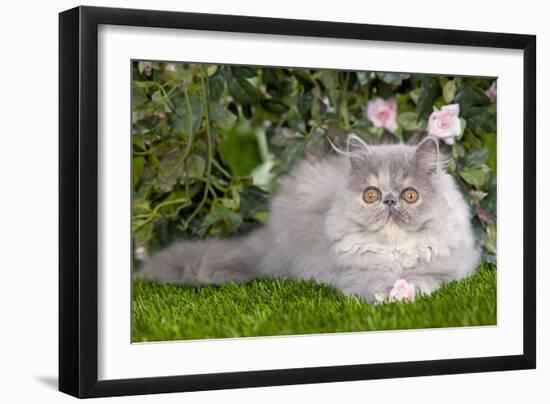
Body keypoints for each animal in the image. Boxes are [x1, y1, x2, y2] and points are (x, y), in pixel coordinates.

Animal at [139, 136, 484, 304]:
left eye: (410, 195)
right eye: (371, 195)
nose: (389, 200)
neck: (394, 253)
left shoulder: (446, 269)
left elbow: (425, 279)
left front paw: (406, 291)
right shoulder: (354, 273)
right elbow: (375, 282)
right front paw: (390, 295)